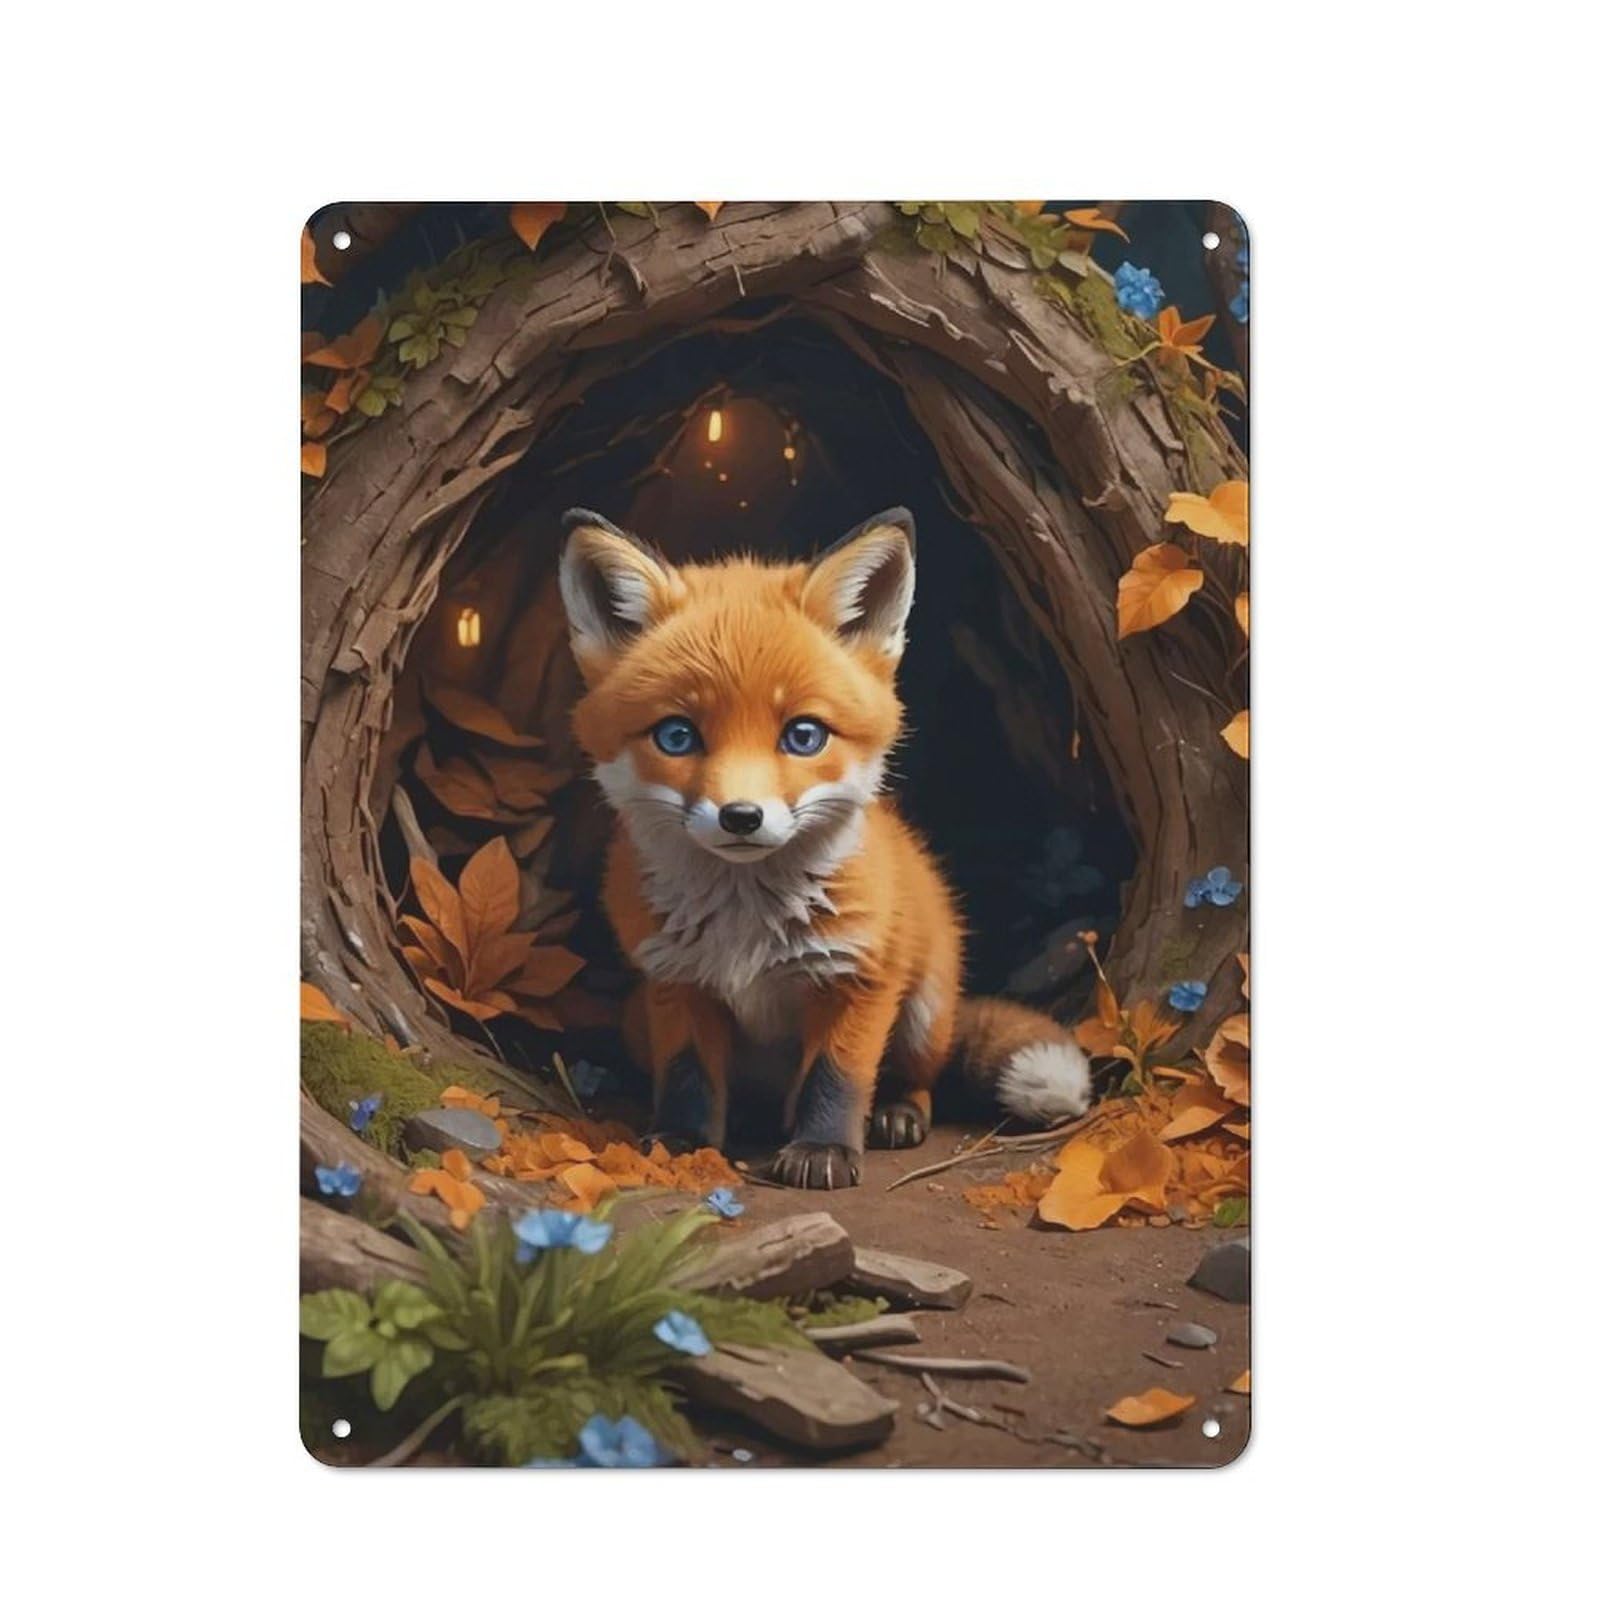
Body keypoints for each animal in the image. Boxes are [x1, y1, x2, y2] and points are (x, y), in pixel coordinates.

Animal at [557, 505, 1093, 1188]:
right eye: (677, 736)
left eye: (804, 735)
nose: (741, 817)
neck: (746, 924)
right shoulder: (675, 980)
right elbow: (688, 1076)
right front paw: (683, 1140)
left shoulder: (859, 977)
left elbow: (836, 1077)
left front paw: (824, 1149)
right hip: (635, 1021)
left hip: (924, 1012)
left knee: (917, 1076)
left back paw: (896, 1112)